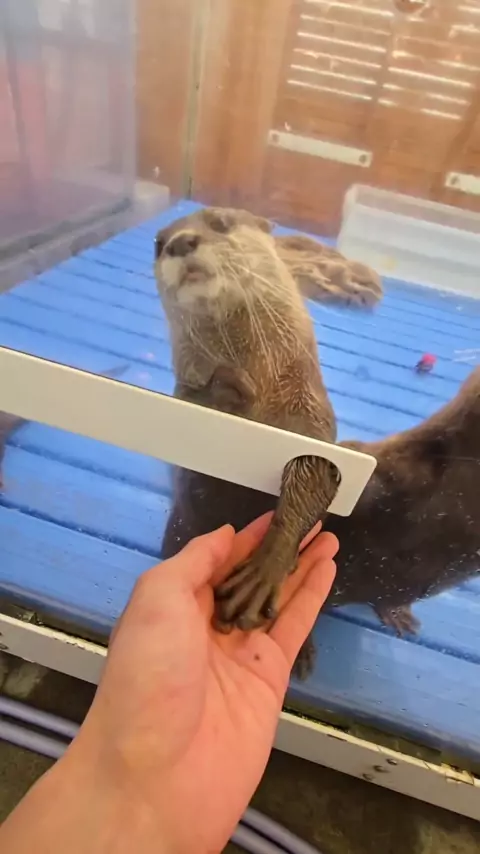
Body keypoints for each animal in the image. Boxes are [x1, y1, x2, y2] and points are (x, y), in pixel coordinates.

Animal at [154, 207, 340, 664]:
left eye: (220, 222)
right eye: (157, 243)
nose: (180, 242)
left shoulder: (310, 417)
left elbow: (312, 479)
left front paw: (265, 568)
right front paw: (224, 388)